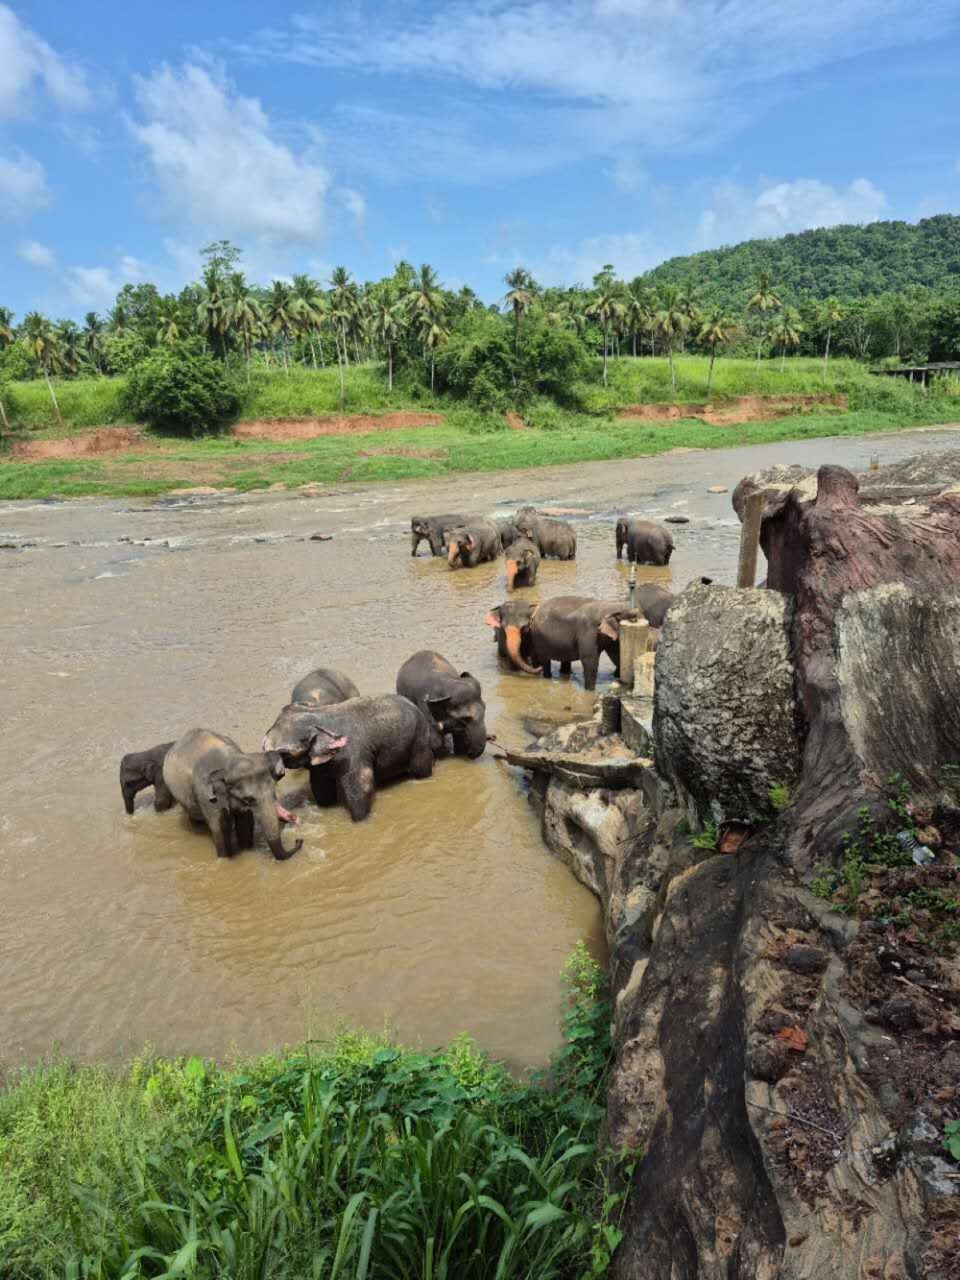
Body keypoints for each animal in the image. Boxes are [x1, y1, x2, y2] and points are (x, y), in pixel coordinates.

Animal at [162, 730, 305, 859]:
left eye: (273, 792)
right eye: (249, 798)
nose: (298, 840)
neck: (229, 762)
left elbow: (245, 823)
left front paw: (246, 849)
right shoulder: (206, 796)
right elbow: (220, 828)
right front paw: (225, 858)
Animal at [262, 694, 434, 822]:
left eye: (283, 753)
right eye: (263, 747)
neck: (319, 713)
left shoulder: (353, 753)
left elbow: (361, 785)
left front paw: (360, 821)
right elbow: (321, 787)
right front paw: (327, 806)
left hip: (419, 738)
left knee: (420, 768)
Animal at [486, 595, 642, 690]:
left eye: (524, 628)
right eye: (502, 628)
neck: (607, 606)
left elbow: (617, 655)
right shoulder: (588, 632)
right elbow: (589, 660)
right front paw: (590, 691)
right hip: (539, 640)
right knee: (544, 661)